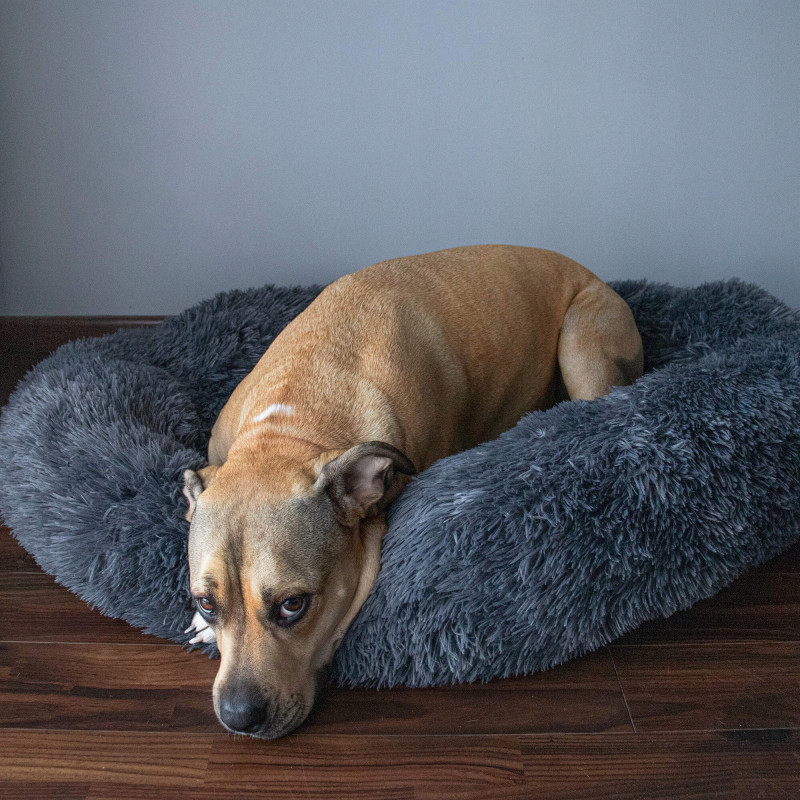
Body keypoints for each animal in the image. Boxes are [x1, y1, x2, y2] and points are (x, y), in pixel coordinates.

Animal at [182, 245, 643, 739]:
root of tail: (590, 273)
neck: (294, 427)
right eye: (206, 603)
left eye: (293, 605)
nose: (238, 716)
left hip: (582, 342)